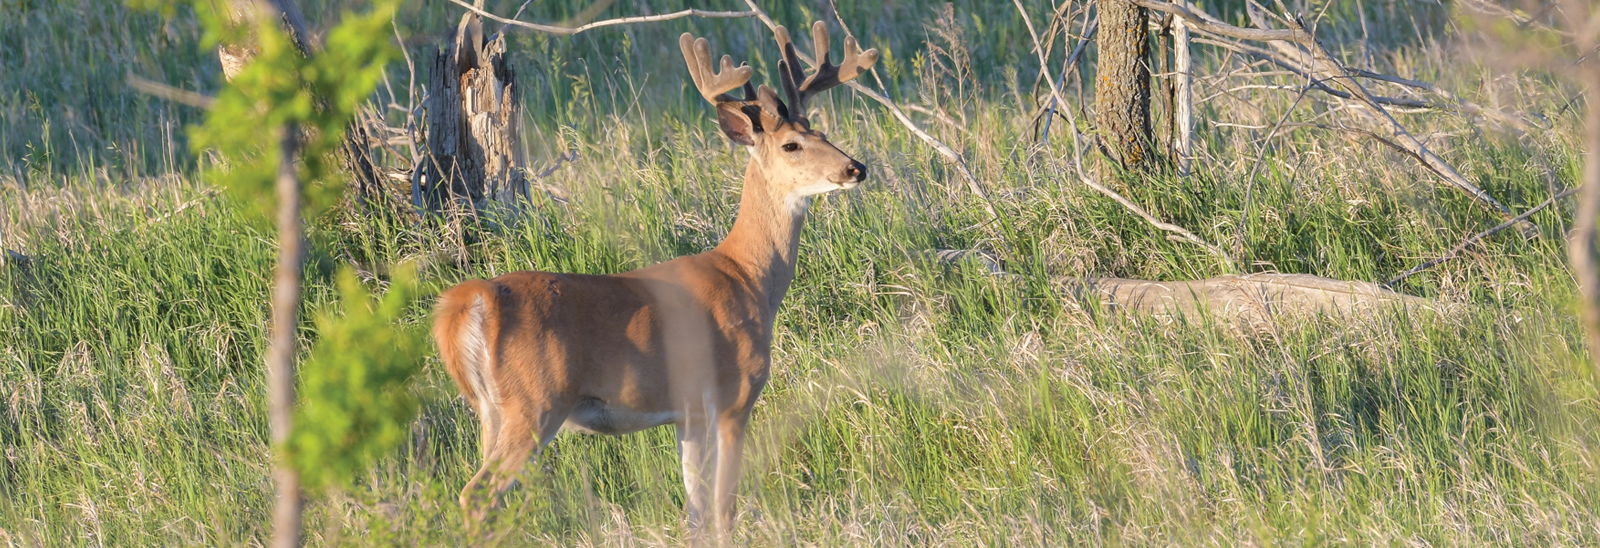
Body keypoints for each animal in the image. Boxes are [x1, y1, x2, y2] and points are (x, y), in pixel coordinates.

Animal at [431, 21, 878, 536]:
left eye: (822, 132)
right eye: (792, 145)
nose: (856, 167)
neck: (749, 278)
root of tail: (467, 302)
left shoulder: (688, 414)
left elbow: (696, 509)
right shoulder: (733, 395)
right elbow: (724, 507)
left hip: (489, 409)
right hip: (534, 401)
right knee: (475, 494)